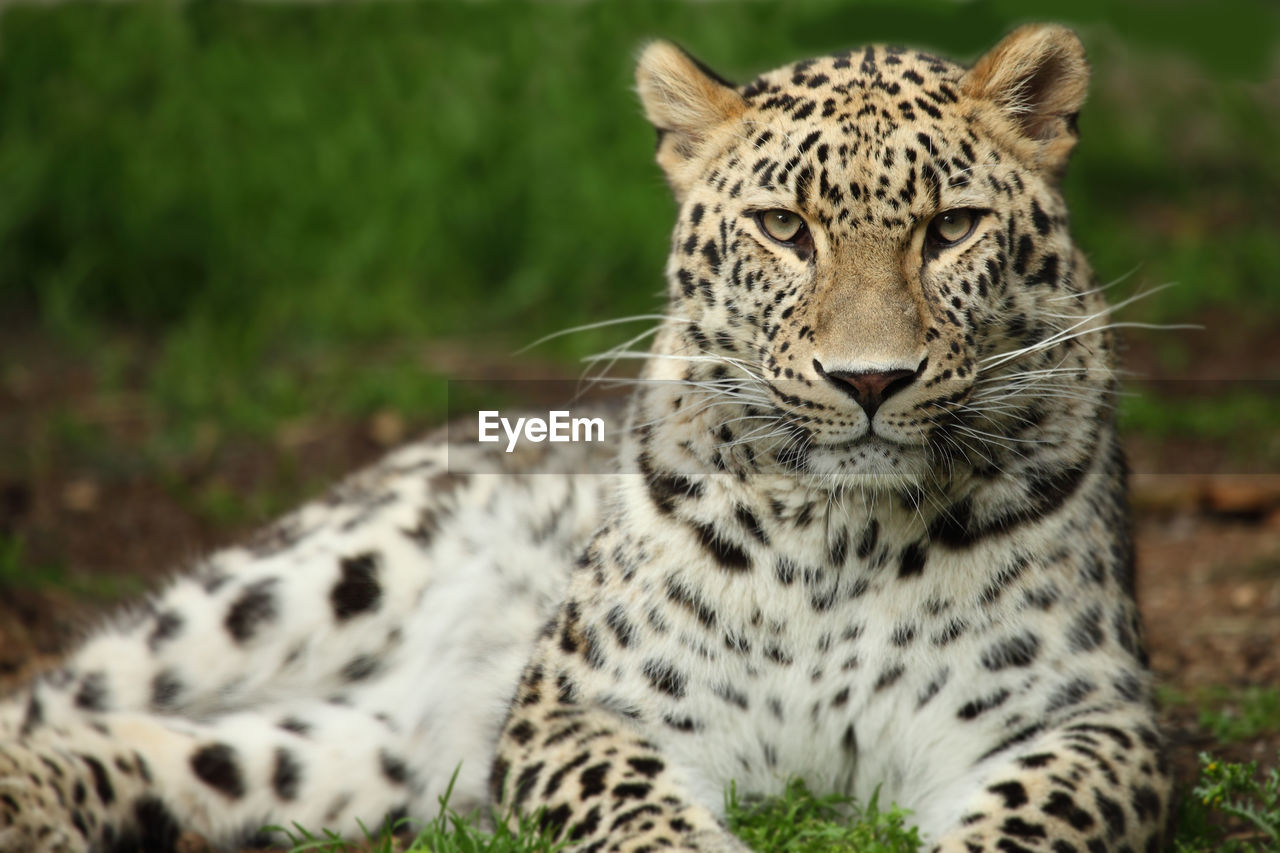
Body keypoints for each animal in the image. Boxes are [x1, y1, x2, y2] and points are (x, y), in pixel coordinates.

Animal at [5, 21, 1172, 850]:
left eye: (951, 228)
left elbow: (1022, 824)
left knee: (188, 754)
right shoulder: (580, 711)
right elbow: (644, 819)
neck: (851, 534)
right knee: (63, 694)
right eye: (784, 229)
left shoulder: (1087, 722)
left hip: (360, 753)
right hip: (295, 586)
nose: (871, 378)